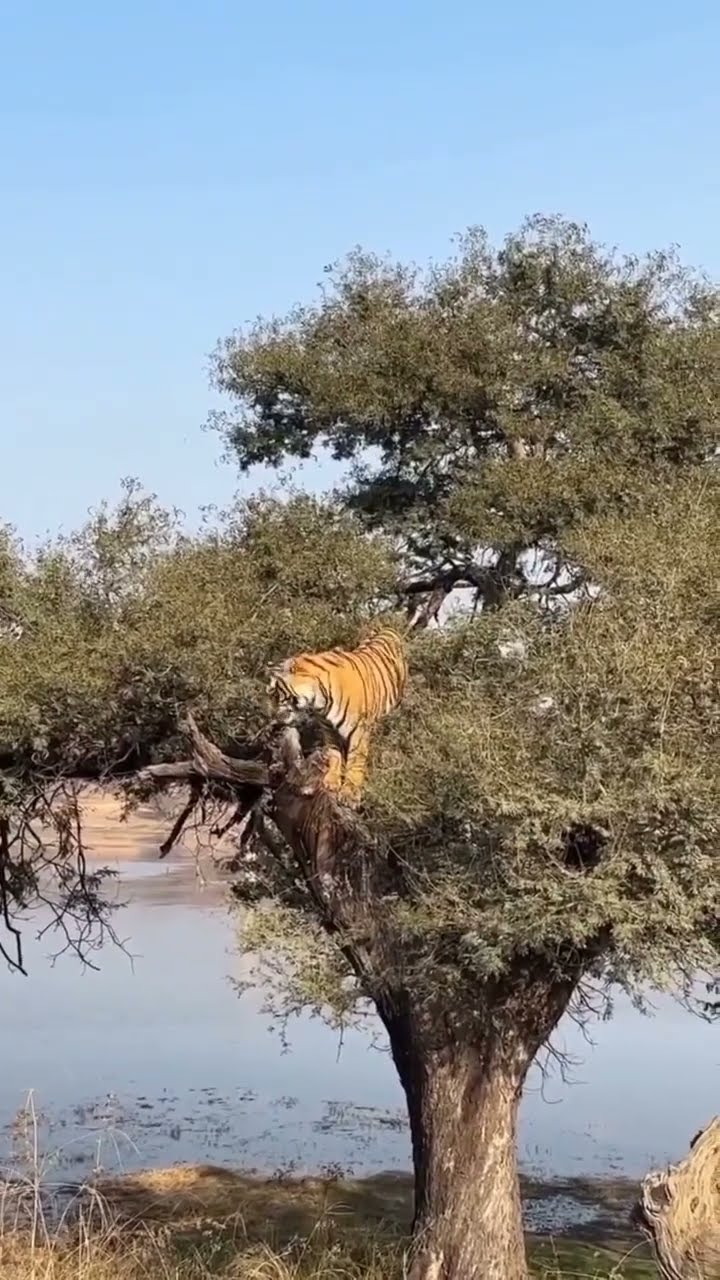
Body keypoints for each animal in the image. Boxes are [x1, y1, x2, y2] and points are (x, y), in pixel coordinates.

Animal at [267, 625, 408, 808]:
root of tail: (387, 627)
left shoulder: (359, 730)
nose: (272, 715)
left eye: (275, 694)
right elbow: (334, 754)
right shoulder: (328, 728)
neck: (319, 699)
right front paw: (331, 782)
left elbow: (356, 761)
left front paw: (350, 794)